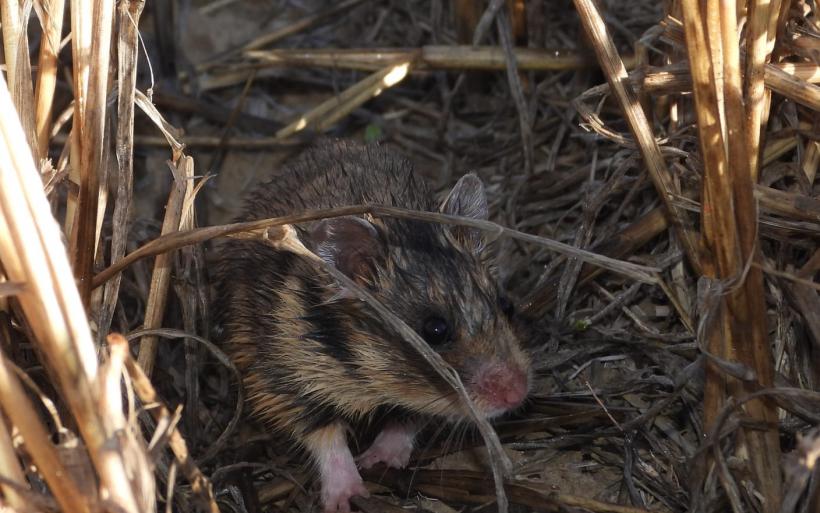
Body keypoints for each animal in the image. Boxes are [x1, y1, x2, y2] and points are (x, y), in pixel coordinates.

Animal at [213, 140, 530, 512]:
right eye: (435, 330)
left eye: (507, 305)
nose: (519, 394)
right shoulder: (279, 376)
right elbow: (325, 434)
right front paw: (347, 497)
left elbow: (409, 417)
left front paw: (380, 459)